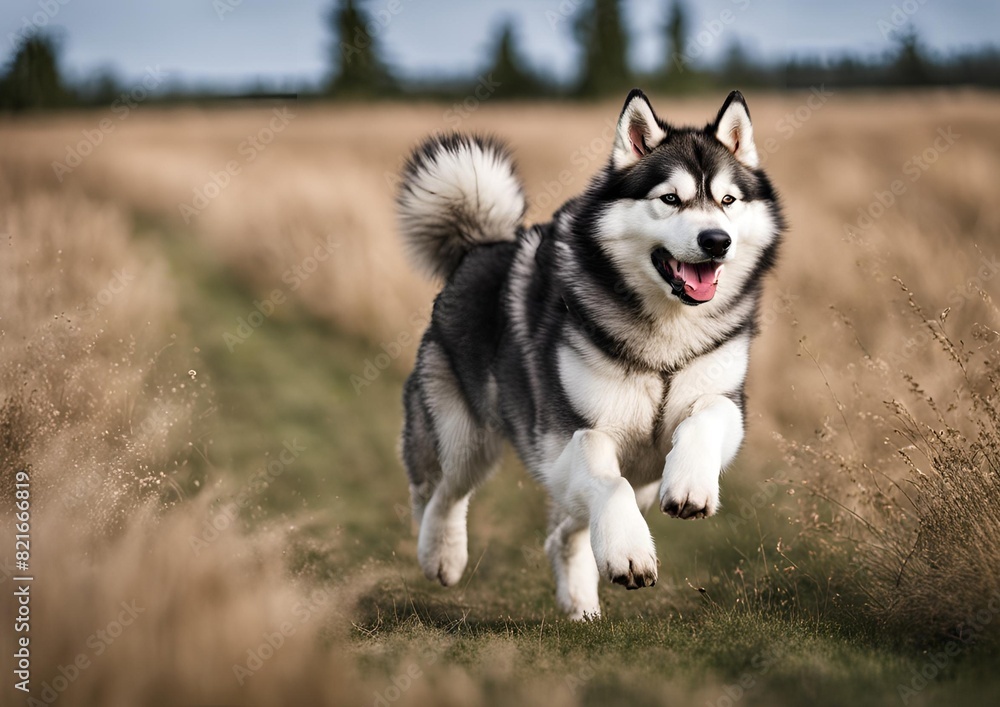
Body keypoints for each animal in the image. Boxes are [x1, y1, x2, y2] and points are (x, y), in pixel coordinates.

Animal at [394, 88, 784, 620]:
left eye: (728, 201)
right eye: (670, 199)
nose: (716, 241)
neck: (666, 335)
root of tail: (480, 248)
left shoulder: (723, 402)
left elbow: (708, 416)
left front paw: (690, 486)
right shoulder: (564, 439)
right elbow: (606, 477)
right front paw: (629, 551)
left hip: (631, 480)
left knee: (562, 531)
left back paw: (580, 603)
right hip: (463, 437)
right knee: (438, 493)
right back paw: (441, 556)